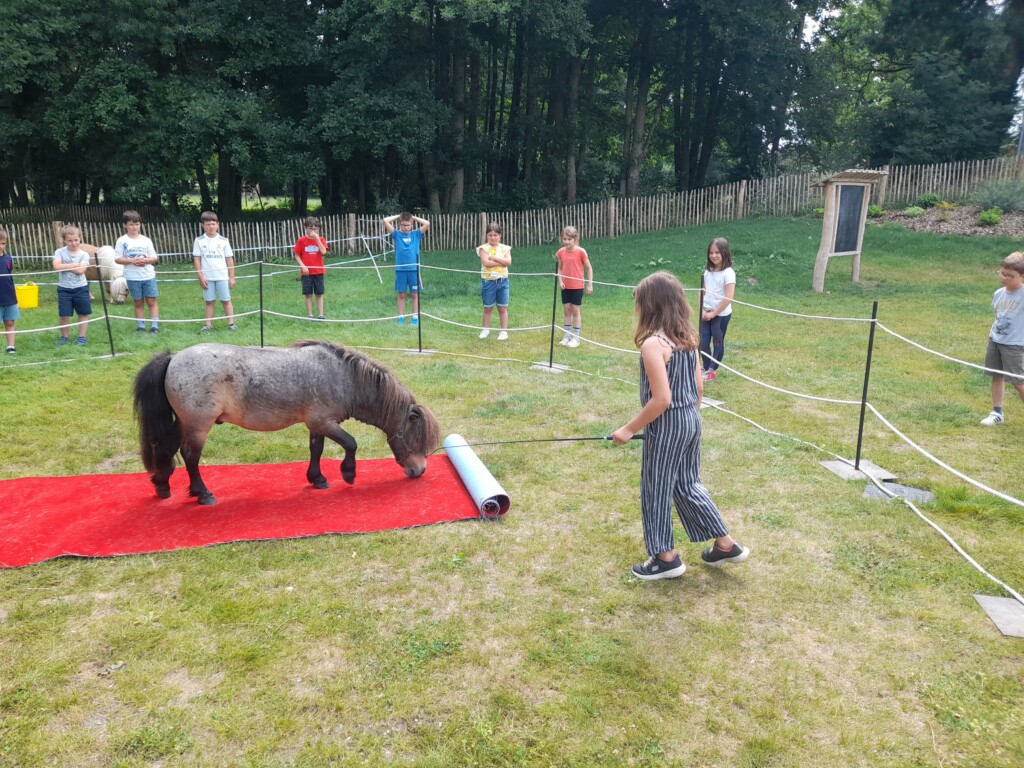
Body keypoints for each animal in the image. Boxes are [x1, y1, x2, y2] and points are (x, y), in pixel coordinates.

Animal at [133, 340, 441, 505]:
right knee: (190, 456)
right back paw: (203, 493)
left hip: (184, 422)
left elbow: (316, 450)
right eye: (414, 437)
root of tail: (174, 357)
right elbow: (351, 443)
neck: (342, 376)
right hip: (199, 425)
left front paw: (317, 479)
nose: (419, 471)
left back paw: (162, 485)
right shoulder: (325, 421)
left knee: (166, 448)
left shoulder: (316, 424)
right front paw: (348, 473)